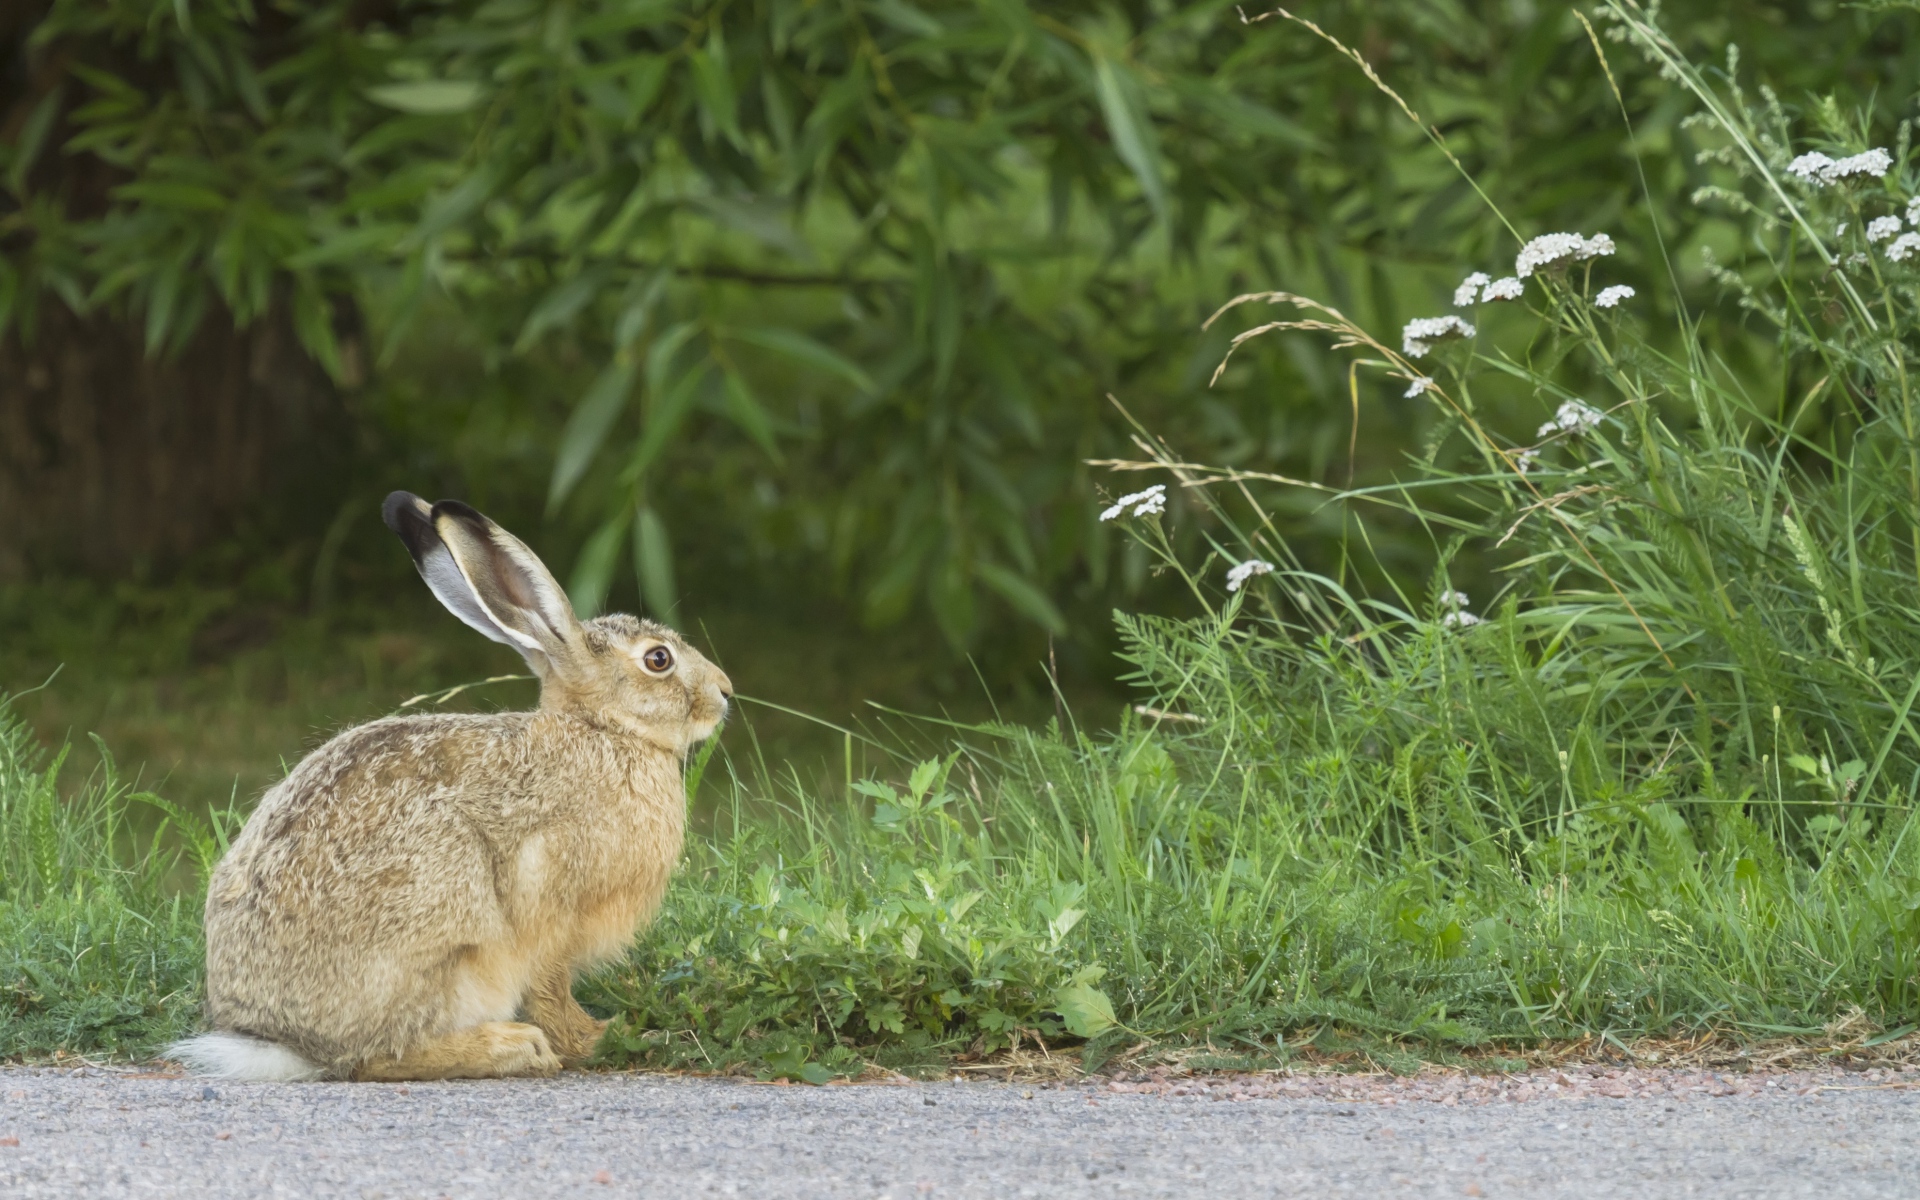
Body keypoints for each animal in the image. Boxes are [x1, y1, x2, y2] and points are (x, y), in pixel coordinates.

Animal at [169, 492, 732, 1081]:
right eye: (658, 660)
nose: (725, 692)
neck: (603, 730)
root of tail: (289, 1041)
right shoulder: (551, 902)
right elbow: (551, 989)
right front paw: (602, 1038)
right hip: (450, 937)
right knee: (375, 1057)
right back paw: (512, 1048)